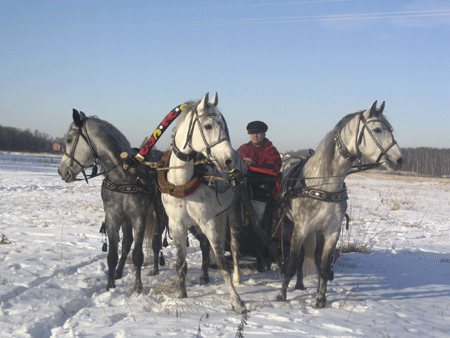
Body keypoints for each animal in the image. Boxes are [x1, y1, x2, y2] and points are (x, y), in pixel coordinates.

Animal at [56, 111, 163, 294]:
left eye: (69, 139)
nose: (61, 171)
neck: (123, 176)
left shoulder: (139, 218)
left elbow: (138, 255)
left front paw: (138, 287)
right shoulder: (113, 217)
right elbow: (112, 254)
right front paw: (109, 285)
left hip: (159, 215)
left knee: (156, 242)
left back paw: (156, 269)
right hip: (126, 220)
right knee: (127, 243)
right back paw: (119, 272)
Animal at [160, 93, 248, 314]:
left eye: (223, 125)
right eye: (208, 126)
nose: (229, 161)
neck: (181, 184)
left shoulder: (207, 221)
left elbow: (223, 264)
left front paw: (236, 301)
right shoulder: (177, 226)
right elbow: (181, 264)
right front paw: (182, 295)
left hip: (233, 212)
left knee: (234, 247)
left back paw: (238, 277)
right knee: (205, 244)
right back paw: (204, 276)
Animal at [276, 101, 406, 308]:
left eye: (390, 129)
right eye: (377, 129)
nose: (400, 159)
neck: (324, 183)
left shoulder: (331, 231)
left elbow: (323, 265)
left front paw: (321, 299)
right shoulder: (300, 228)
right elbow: (291, 263)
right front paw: (281, 295)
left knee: (310, 256)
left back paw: (301, 284)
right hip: (291, 224)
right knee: (298, 257)